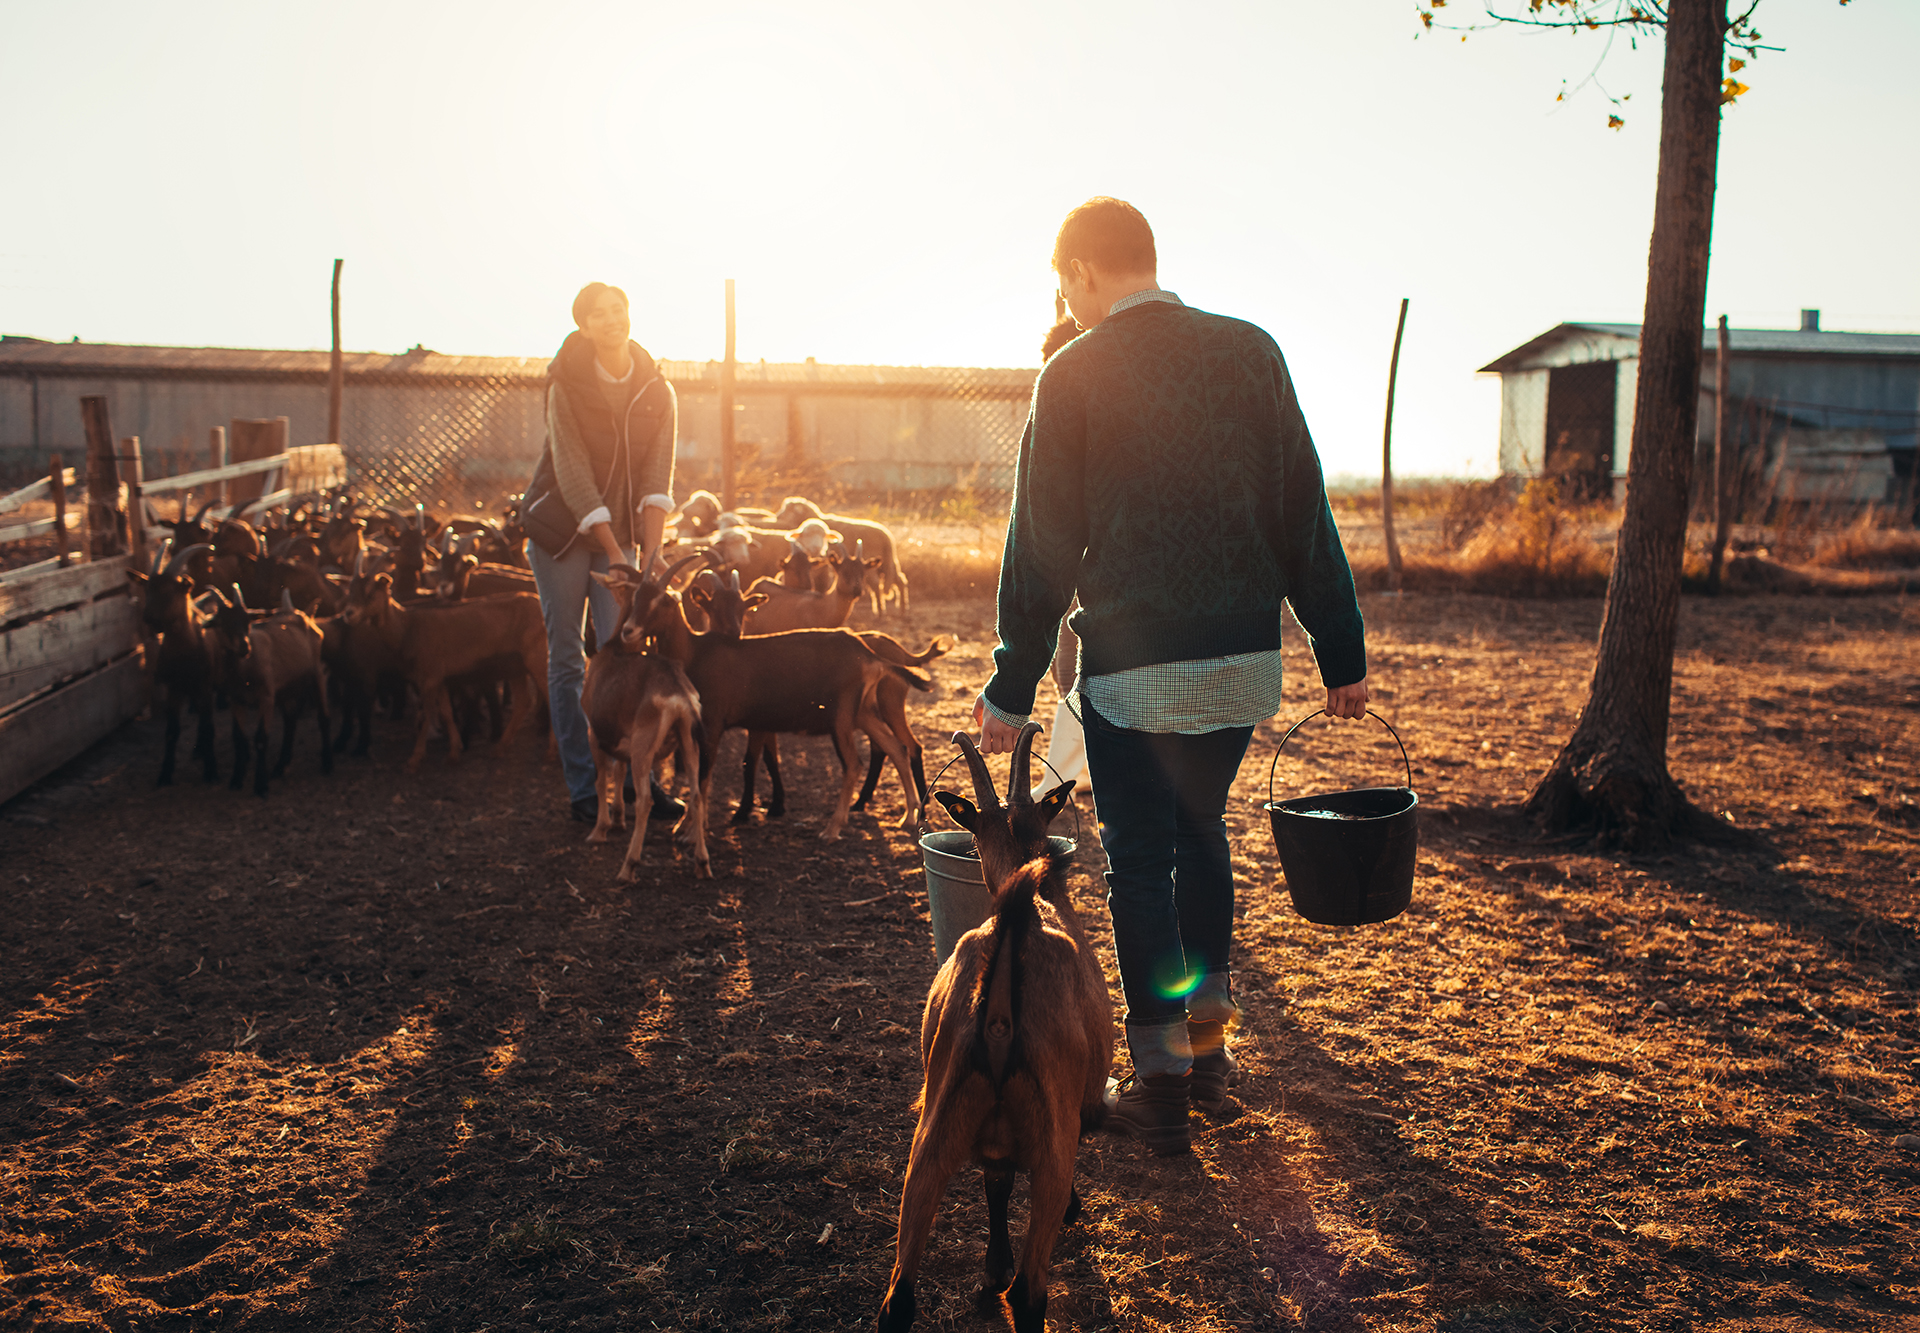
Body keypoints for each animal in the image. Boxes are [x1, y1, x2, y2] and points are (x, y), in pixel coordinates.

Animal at [201, 583, 330, 795]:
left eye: (247, 621)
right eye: (223, 622)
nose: (244, 647)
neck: (244, 667)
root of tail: (300, 614)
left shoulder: (266, 697)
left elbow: (261, 738)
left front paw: (261, 785)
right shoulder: (236, 699)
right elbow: (238, 737)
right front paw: (236, 779)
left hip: (317, 673)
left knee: (323, 718)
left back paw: (327, 764)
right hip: (288, 687)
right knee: (290, 722)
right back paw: (280, 766)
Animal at [583, 557, 714, 883]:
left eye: (659, 600)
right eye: (637, 595)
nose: (629, 630)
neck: (613, 649)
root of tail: (679, 695)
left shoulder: (594, 733)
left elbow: (601, 779)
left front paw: (600, 830)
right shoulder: (623, 740)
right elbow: (618, 772)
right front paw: (618, 819)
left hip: (645, 747)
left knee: (645, 800)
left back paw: (628, 866)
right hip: (688, 742)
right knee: (696, 794)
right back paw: (702, 863)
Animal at [645, 568, 929, 841]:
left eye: (743, 607)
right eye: (712, 607)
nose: (733, 633)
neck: (698, 652)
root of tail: (872, 656)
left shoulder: (728, 724)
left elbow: (744, 762)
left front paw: (731, 815)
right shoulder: (757, 723)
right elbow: (762, 759)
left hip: (845, 717)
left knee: (858, 762)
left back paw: (835, 827)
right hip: (864, 713)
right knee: (896, 748)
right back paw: (908, 814)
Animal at [771, 499, 906, 618]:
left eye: (788, 510)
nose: (776, 517)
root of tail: (886, 537)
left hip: (873, 561)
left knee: (877, 585)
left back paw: (880, 613)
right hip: (889, 562)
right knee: (900, 580)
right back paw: (902, 610)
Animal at [875, 729, 1105, 1333]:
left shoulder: (991, 1142)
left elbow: (995, 1186)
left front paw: (989, 1268)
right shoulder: (1073, 1113)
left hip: (934, 1129)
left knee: (898, 1296)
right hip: (1049, 1143)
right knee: (1029, 1294)